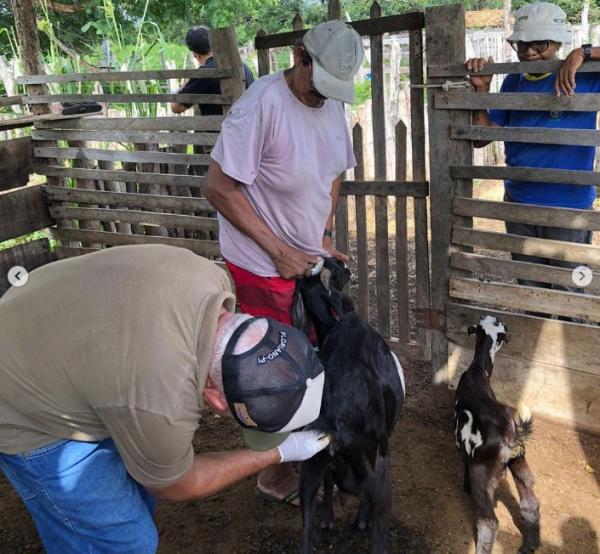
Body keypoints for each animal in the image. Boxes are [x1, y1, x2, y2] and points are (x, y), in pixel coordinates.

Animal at [294, 258, 406, 552]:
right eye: (334, 266)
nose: (347, 266)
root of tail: (335, 418)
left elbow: (328, 480)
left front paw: (328, 519)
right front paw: (359, 521)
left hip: (309, 469)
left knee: (306, 533)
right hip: (381, 471)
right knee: (379, 533)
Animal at [454, 314, 540, 552]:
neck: (478, 373)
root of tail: (512, 436)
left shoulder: (466, 450)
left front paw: (464, 486)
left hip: (483, 470)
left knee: (489, 521)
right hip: (519, 460)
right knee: (530, 503)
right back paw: (530, 545)